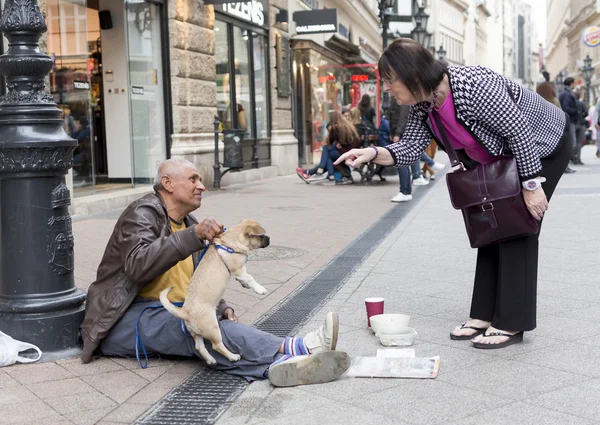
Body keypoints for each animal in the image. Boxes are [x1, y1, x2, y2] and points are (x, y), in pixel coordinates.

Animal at [162, 219, 270, 364]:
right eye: (262, 235)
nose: (269, 239)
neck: (232, 240)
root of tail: (185, 312)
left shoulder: (240, 271)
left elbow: (245, 278)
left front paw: (245, 284)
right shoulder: (238, 270)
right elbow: (250, 278)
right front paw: (260, 289)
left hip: (196, 333)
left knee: (199, 346)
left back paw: (211, 360)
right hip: (213, 328)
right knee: (216, 345)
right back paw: (232, 356)